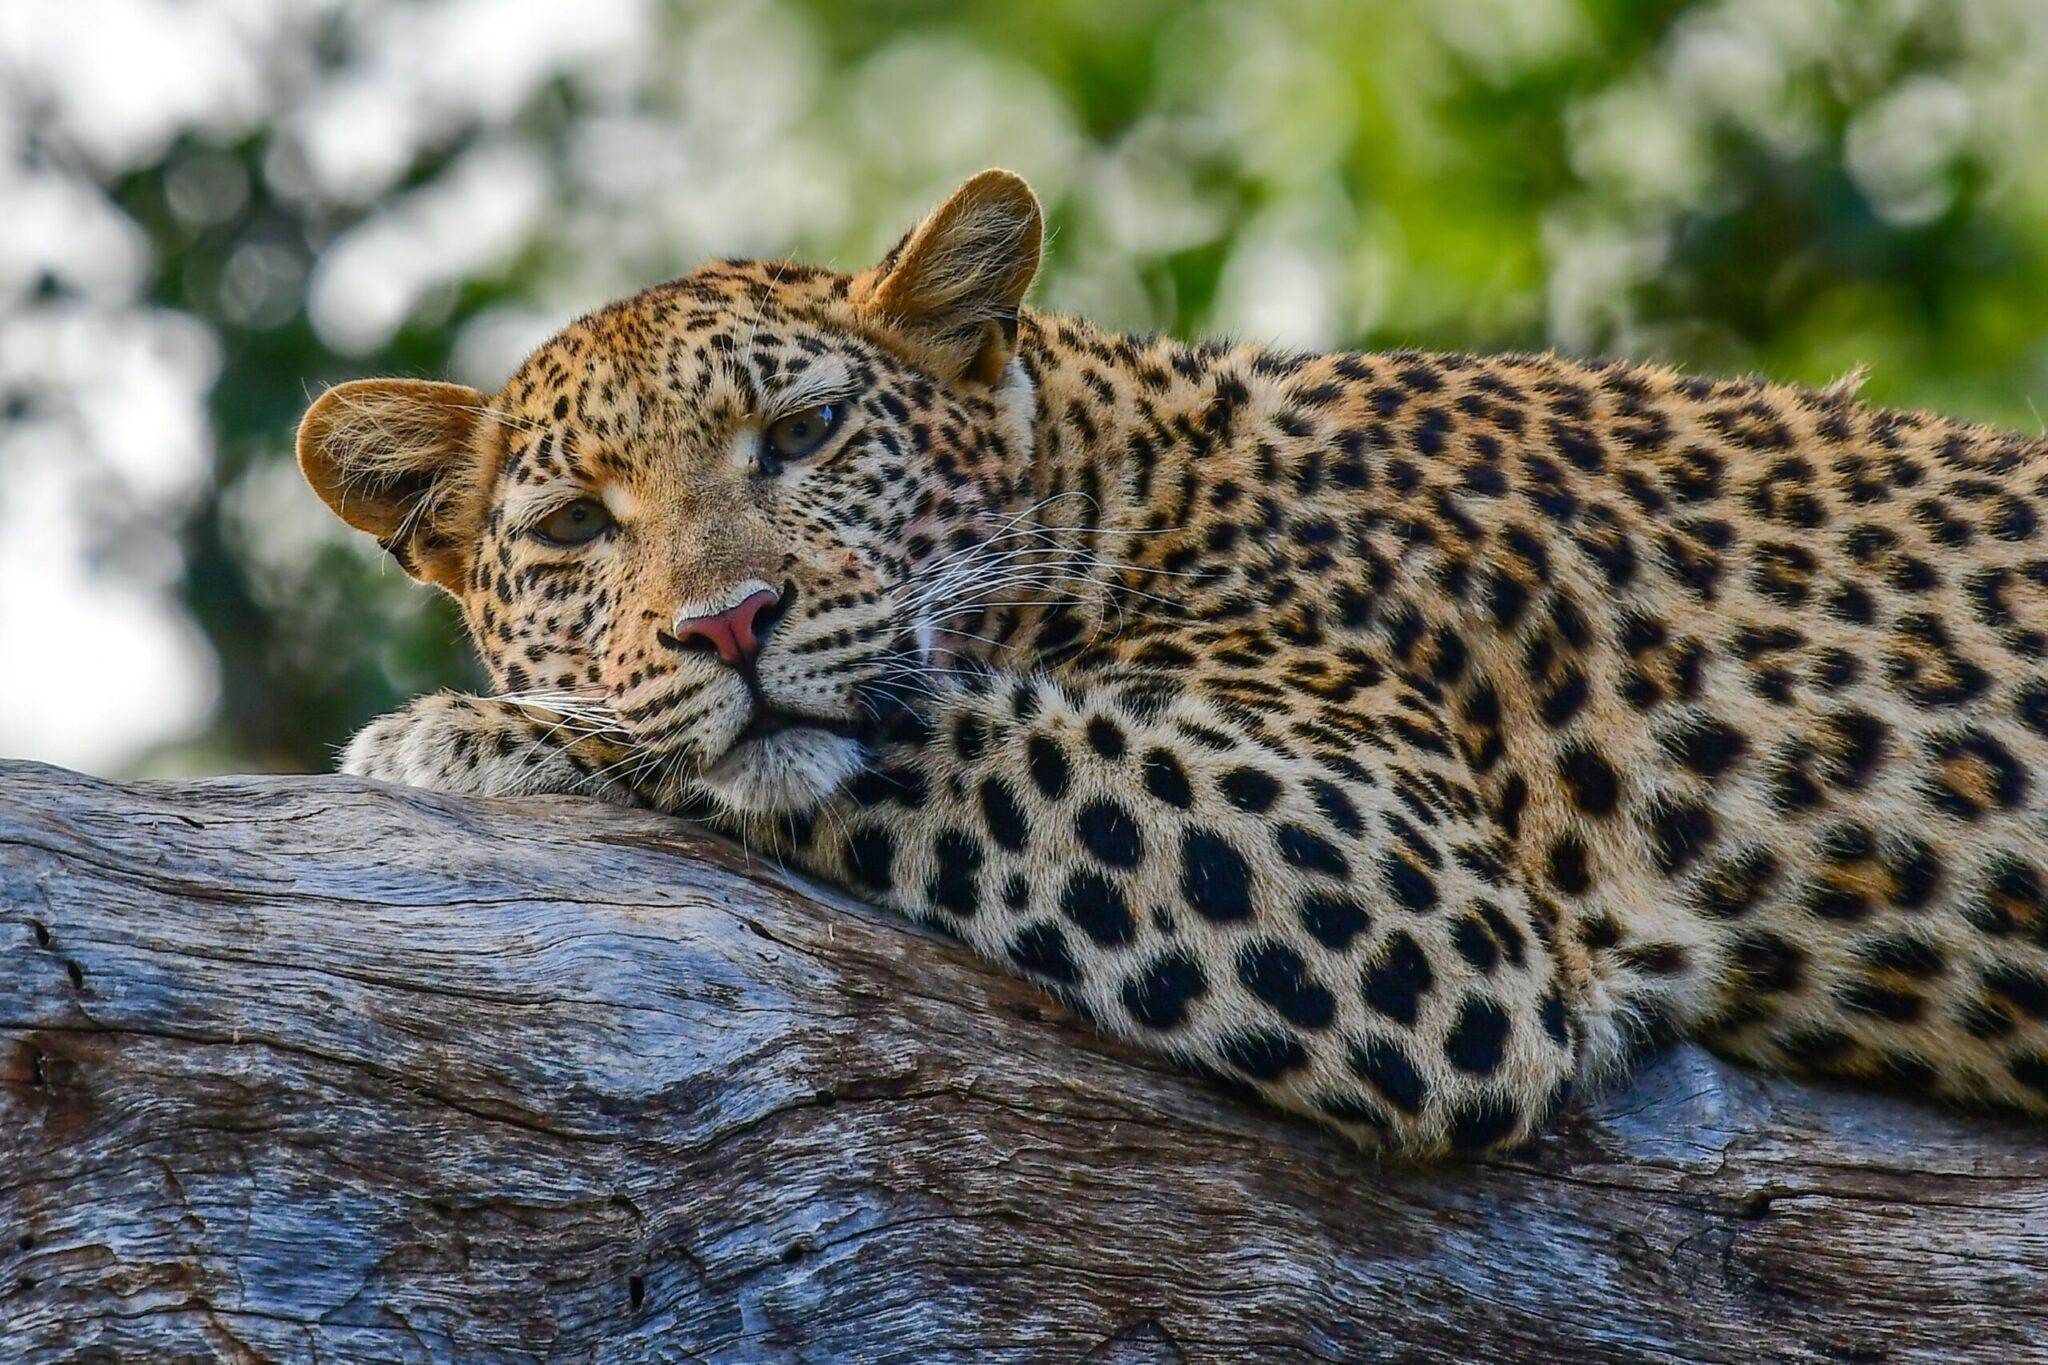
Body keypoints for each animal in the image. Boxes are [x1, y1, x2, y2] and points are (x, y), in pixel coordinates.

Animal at [297, 169, 2048, 1158]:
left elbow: (951, 731)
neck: (1116, 465)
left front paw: (476, 731)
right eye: (578, 526)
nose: (728, 623)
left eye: (805, 433)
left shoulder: (1407, 884)